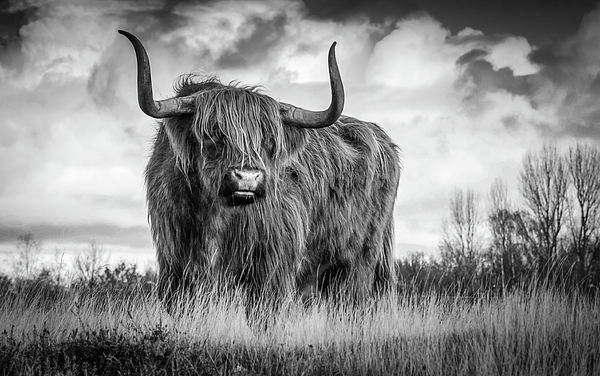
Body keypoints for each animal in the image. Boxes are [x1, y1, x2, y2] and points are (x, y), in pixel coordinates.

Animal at [119, 29, 400, 324]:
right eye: (214, 133)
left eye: (269, 140)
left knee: (352, 305)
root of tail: (382, 138)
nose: (247, 177)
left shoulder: (272, 267)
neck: (216, 216)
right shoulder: (175, 267)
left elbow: (265, 315)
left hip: (360, 261)